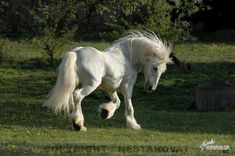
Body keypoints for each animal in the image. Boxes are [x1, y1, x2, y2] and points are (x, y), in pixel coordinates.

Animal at [43, 30, 176, 130]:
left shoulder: (110, 89)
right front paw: (134, 125)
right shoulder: (127, 87)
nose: (151, 88)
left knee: (72, 98)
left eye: (163, 71)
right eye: (155, 67)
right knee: (77, 96)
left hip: (76, 84)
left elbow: (117, 102)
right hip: (90, 85)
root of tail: (75, 53)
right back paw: (78, 124)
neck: (127, 58)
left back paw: (75, 123)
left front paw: (105, 112)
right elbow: (129, 106)